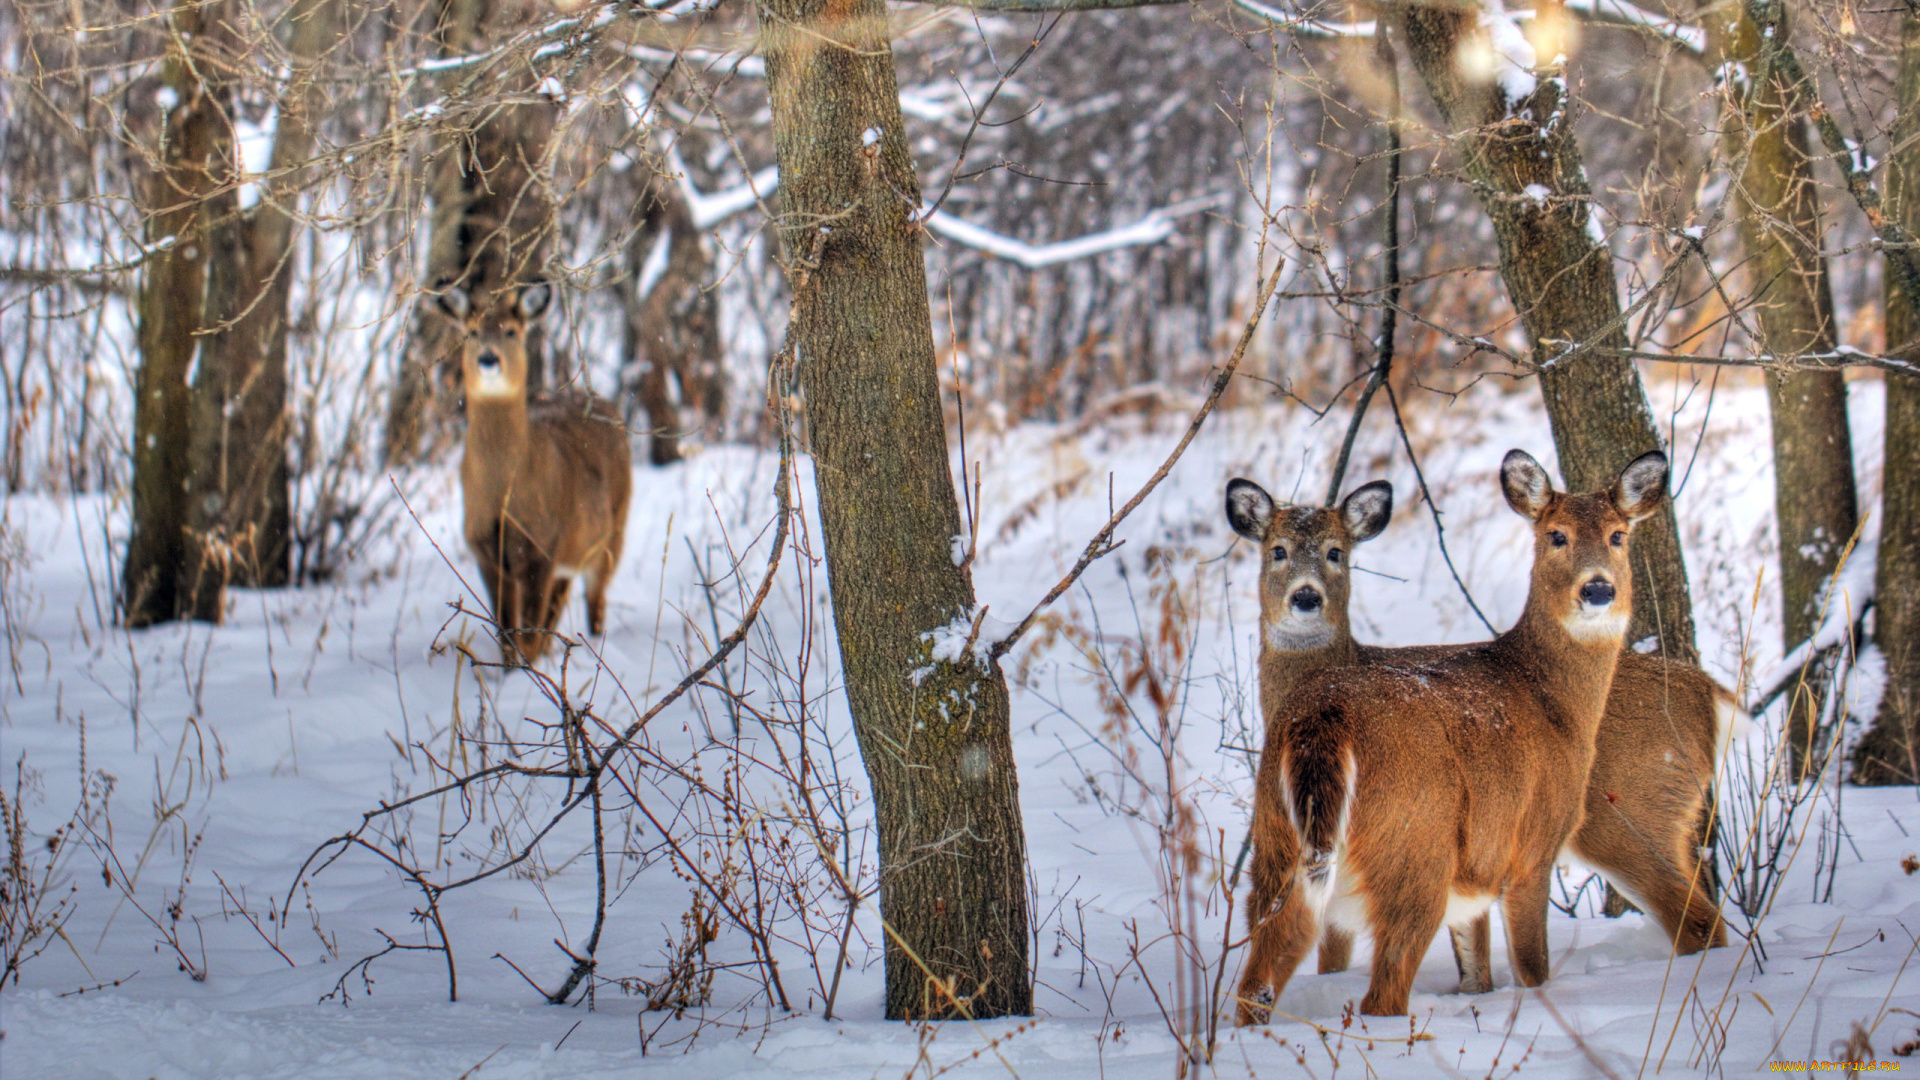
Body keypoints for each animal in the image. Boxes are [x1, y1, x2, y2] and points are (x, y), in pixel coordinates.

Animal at [435, 282, 629, 661]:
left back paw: (594, 643)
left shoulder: (542, 543)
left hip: (612, 533)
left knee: (595, 599)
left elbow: (527, 634)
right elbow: (508, 632)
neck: (504, 491)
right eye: (472, 331)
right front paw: (512, 669)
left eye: (511, 331)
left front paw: (529, 669)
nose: (488, 359)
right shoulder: (485, 549)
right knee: (562, 602)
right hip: (574, 549)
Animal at [1228, 470, 1743, 1006]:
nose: (1306, 598)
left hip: (1629, 816)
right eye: (1278, 550)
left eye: (1335, 552)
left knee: (1697, 919)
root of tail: (1709, 691)